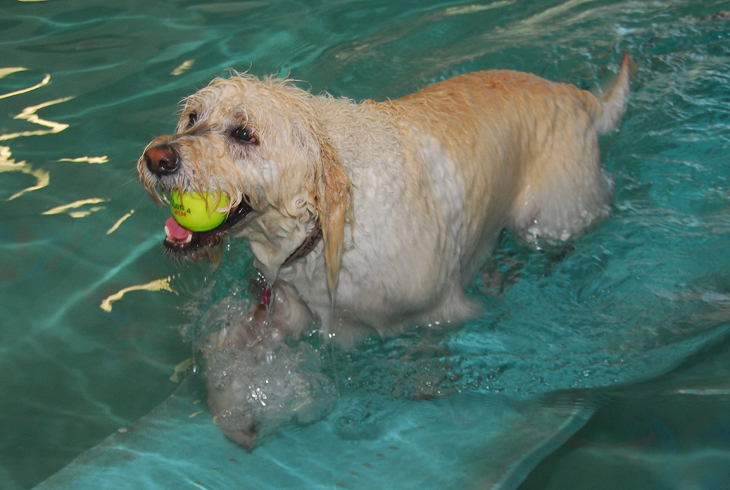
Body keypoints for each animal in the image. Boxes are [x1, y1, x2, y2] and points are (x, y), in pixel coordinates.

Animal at [138, 55, 632, 446]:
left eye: (244, 134)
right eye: (192, 117)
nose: (156, 157)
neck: (325, 227)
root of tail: (577, 96)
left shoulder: (441, 312)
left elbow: (424, 362)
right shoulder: (288, 306)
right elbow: (226, 345)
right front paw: (238, 409)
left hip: (553, 216)